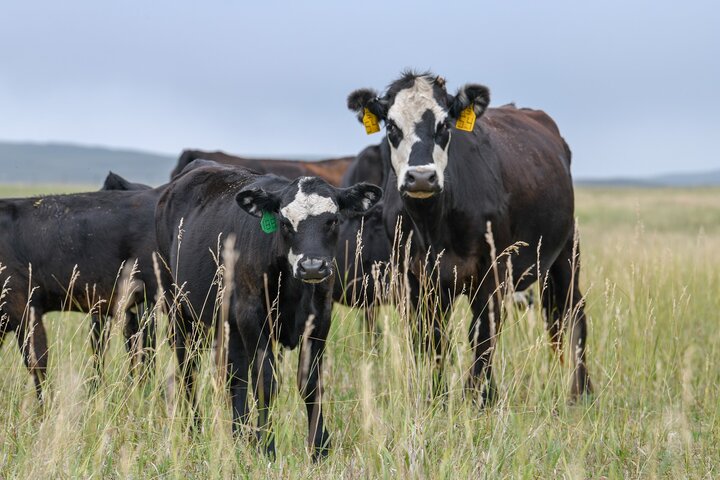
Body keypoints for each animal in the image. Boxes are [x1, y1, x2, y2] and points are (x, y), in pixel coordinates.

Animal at [155, 162, 382, 458]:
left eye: (332, 220)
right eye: (285, 223)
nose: (312, 266)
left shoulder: (320, 318)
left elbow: (310, 382)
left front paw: (319, 447)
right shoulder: (252, 316)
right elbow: (265, 382)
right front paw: (267, 447)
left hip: (228, 324)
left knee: (235, 378)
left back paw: (240, 436)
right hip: (180, 311)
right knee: (188, 372)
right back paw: (195, 430)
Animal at [346, 70, 592, 402]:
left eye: (444, 125)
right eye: (392, 126)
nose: (420, 177)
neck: (432, 225)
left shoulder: (491, 273)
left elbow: (482, 334)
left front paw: (480, 398)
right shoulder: (415, 281)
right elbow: (431, 339)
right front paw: (436, 397)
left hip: (566, 253)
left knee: (573, 314)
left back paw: (581, 391)